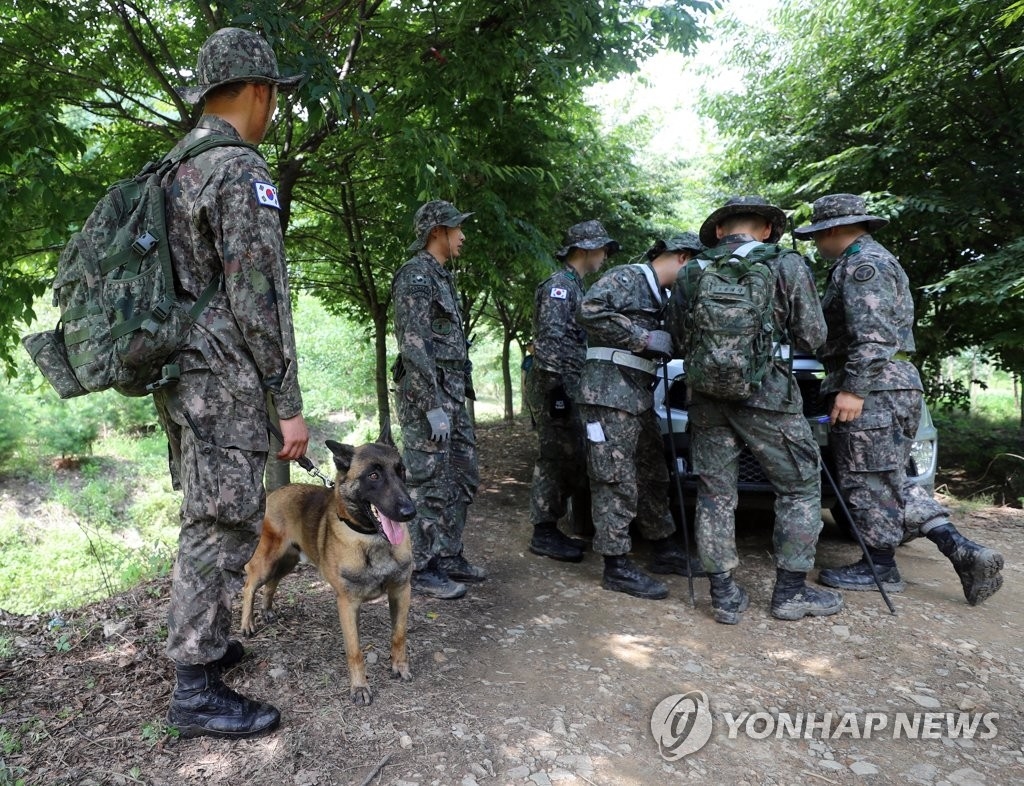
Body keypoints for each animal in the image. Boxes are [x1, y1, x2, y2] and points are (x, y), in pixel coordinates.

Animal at [239, 435, 415, 704]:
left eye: (401, 470)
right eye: (373, 475)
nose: (410, 512)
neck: (371, 538)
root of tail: (274, 492)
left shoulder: (401, 592)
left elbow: (399, 635)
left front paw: (399, 666)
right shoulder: (347, 604)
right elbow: (354, 650)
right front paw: (359, 687)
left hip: (288, 563)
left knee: (272, 583)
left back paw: (267, 609)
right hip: (267, 561)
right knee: (250, 585)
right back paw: (247, 623)